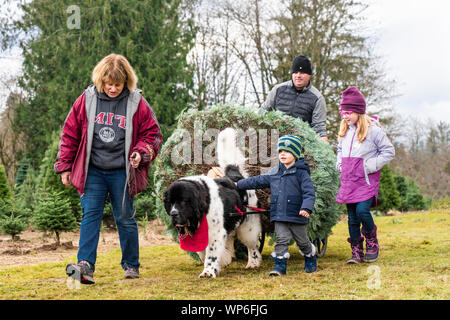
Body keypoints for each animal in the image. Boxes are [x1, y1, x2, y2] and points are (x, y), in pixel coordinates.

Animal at [163, 127, 262, 278]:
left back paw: (253, 263)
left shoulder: (215, 232)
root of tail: (236, 176)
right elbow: (203, 252)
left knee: (252, 245)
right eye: (170, 202)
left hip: (248, 226)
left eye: (184, 201)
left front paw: (208, 271)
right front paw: (217, 264)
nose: (174, 214)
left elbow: (211, 253)